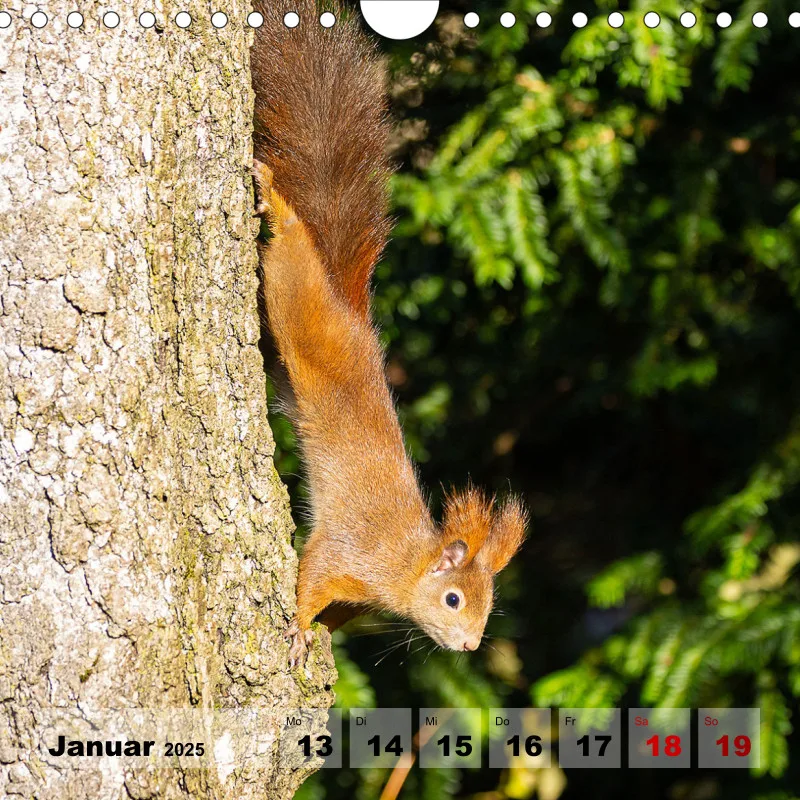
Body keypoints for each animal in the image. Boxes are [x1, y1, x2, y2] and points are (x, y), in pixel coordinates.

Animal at [250, 0, 528, 667]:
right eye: (453, 599)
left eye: (488, 607)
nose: (469, 645)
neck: (404, 567)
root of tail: (352, 316)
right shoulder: (347, 553)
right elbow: (311, 577)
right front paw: (297, 629)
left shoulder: (359, 596)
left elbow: (335, 610)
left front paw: (322, 635)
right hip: (301, 304)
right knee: (292, 251)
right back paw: (277, 203)